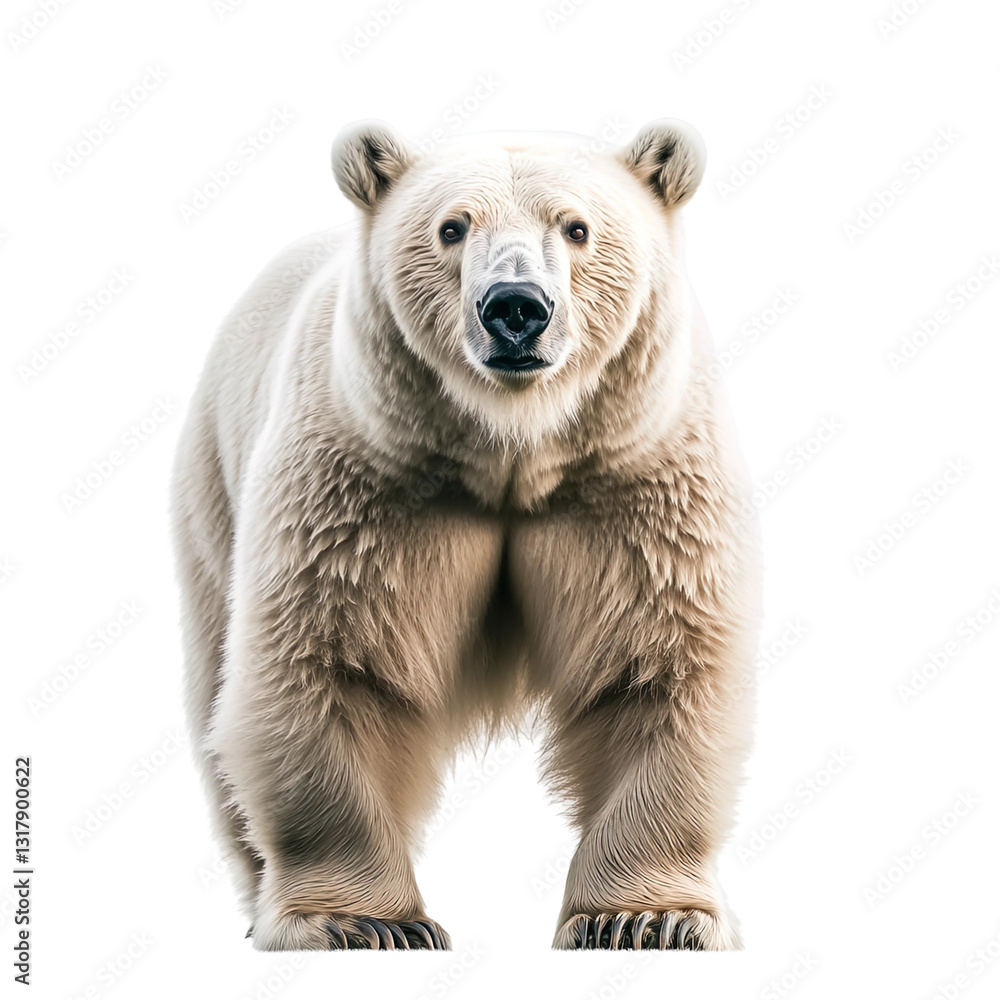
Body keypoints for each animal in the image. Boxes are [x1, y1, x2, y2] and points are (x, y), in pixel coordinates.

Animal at [170, 118, 761, 952]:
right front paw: (362, 922)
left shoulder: (637, 479)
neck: (514, 450)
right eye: (452, 227)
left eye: (576, 228)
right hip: (214, 483)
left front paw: (647, 917)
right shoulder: (363, 482)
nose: (515, 307)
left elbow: (657, 666)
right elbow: (326, 664)